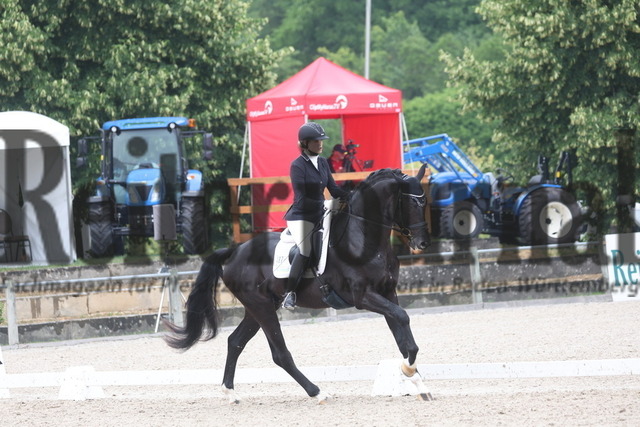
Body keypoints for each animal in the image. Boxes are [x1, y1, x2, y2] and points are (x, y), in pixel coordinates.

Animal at [166, 166, 430, 402]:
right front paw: (408, 370)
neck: (364, 240)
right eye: (412, 204)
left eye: (424, 202)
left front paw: (415, 379)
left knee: (235, 342)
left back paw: (230, 393)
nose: (422, 243)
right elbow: (403, 317)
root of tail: (235, 251)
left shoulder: (388, 292)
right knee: (279, 354)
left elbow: (401, 334)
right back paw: (317, 393)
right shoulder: (363, 297)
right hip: (261, 306)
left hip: (258, 308)